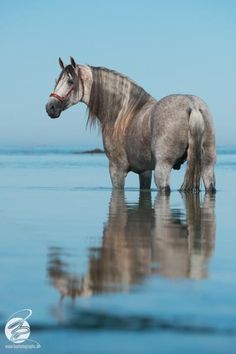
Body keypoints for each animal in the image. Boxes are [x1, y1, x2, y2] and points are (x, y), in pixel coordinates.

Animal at [45, 56, 217, 192]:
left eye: (70, 81)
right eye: (56, 81)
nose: (50, 107)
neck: (122, 113)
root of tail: (192, 105)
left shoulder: (116, 170)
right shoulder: (145, 171)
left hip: (163, 168)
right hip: (207, 166)